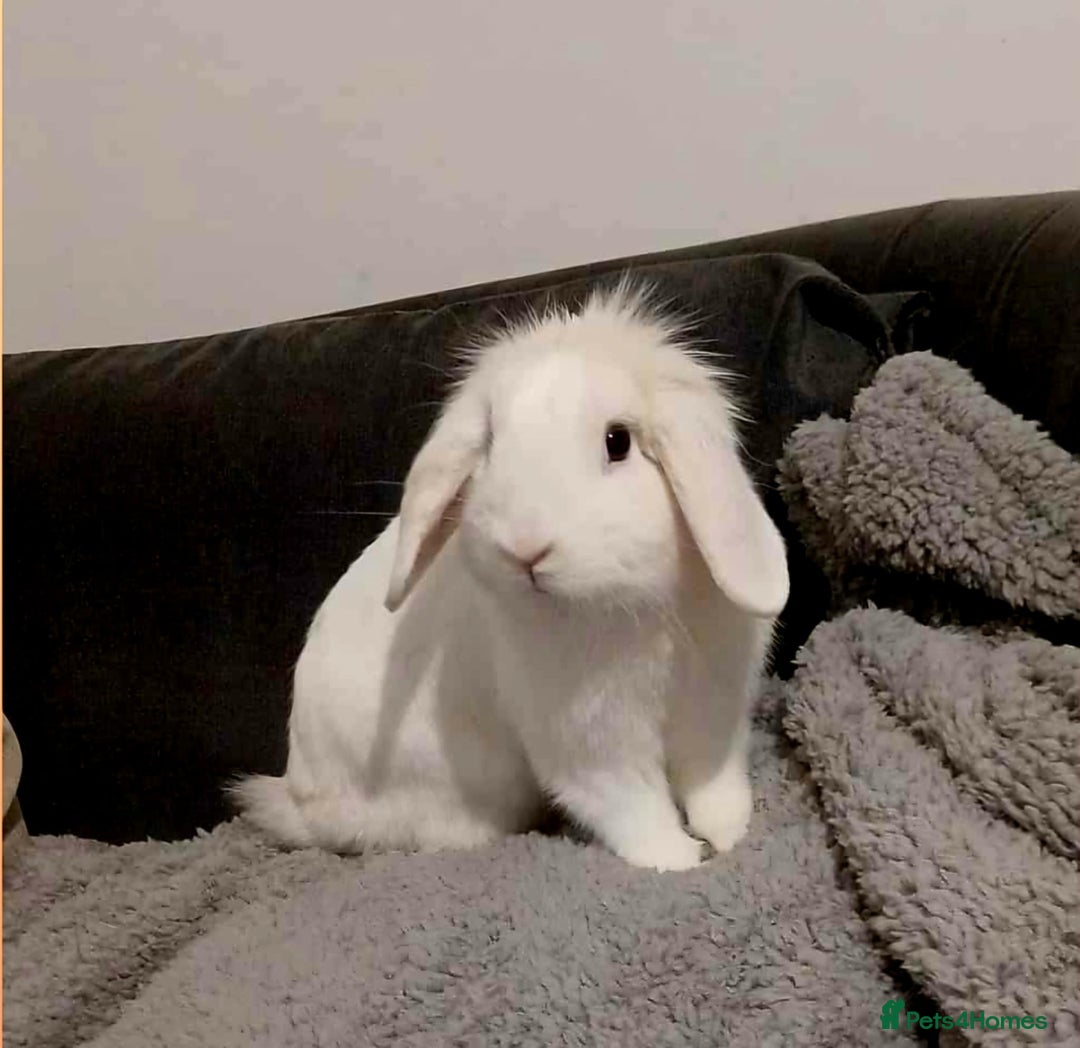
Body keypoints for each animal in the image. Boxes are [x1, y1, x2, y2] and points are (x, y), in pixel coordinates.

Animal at [233, 279, 789, 871]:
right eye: (491, 443)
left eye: (618, 441)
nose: (525, 549)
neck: (636, 610)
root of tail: (303, 803)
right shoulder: (590, 747)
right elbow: (633, 809)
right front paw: (682, 859)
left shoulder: (714, 710)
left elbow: (713, 782)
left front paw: (728, 833)